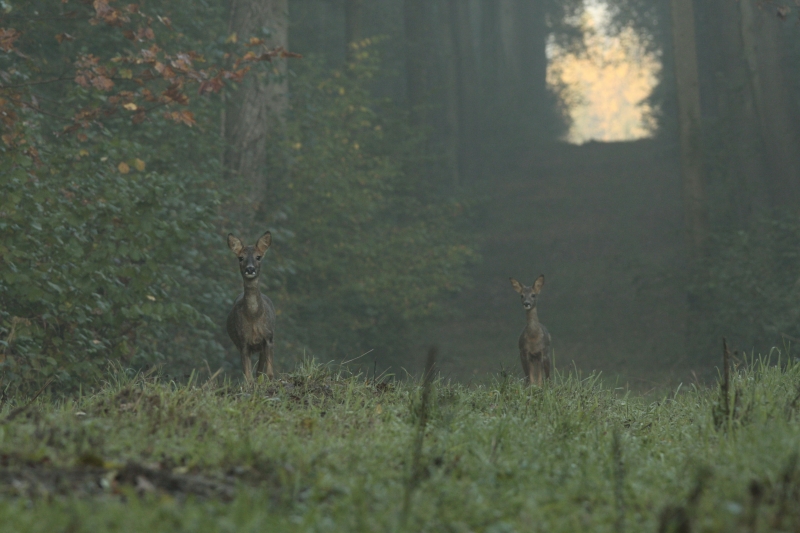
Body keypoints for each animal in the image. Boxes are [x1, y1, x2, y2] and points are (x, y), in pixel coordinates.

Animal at [227, 231, 276, 380]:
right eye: (240, 258)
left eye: (258, 257)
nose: (250, 269)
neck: (254, 316)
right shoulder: (243, 342)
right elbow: (248, 377)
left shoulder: (268, 338)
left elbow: (269, 373)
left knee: (259, 371)